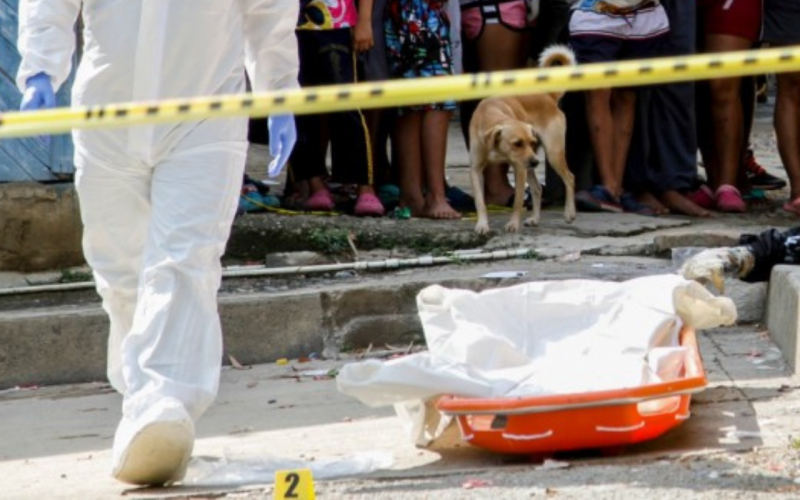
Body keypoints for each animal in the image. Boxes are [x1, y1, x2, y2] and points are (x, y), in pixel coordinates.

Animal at [468, 46, 576, 235]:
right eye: (517, 143)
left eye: (531, 142)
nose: (536, 162)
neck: (491, 114)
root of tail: (549, 97)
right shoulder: (476, 169)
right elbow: (480, 201)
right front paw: (482, 224)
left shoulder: (519, 168)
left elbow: (518, 200)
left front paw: (513, 224)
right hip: (534, 163)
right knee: (538, 188)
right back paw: (535, 219)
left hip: (552, 154)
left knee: (570, 178)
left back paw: (569, 213)